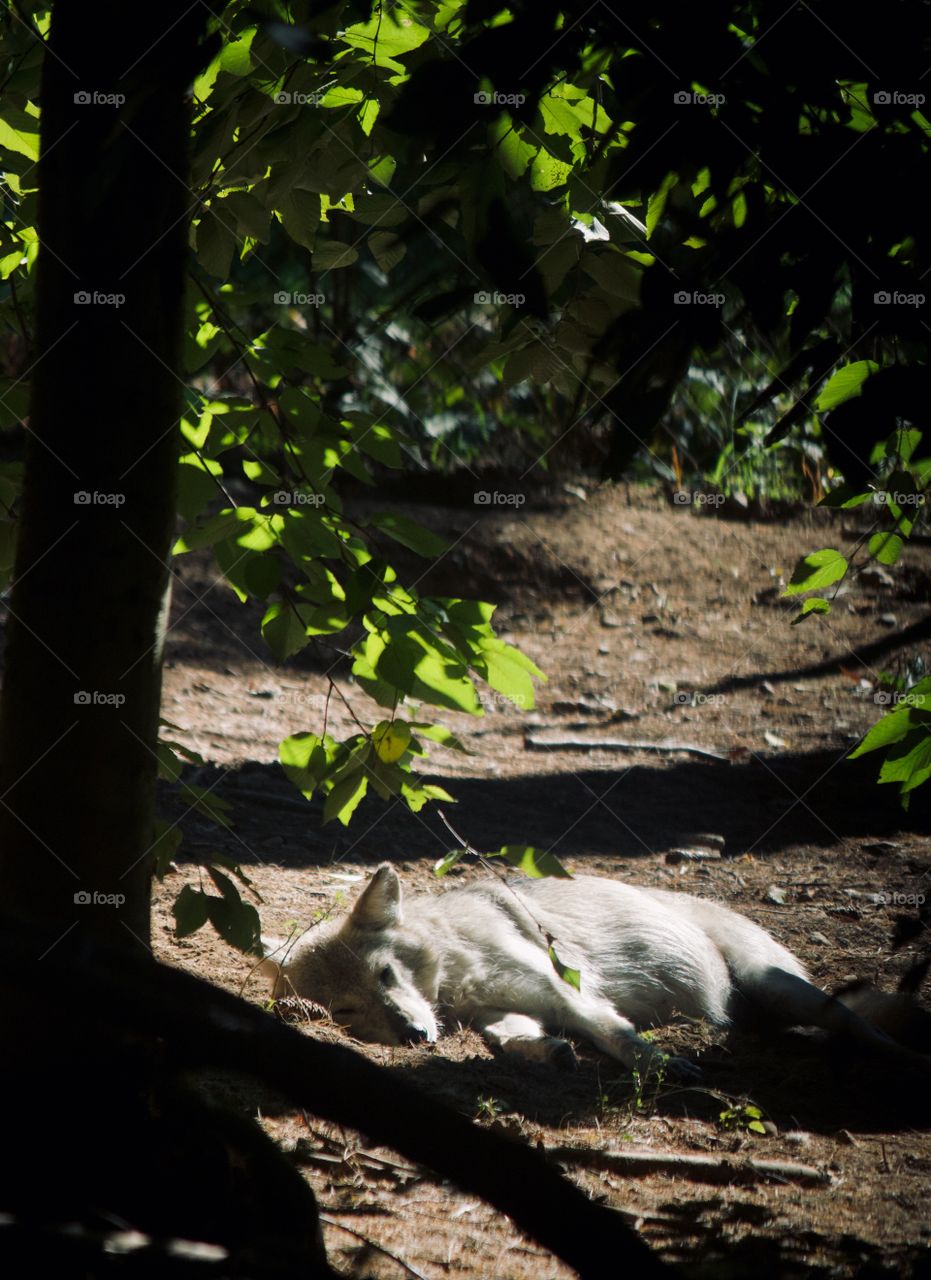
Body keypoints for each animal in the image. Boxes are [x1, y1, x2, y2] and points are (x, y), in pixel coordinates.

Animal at [258, 860, 927, 1080]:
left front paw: (662, 1068)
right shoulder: (501, 1010)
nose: (415, 1036)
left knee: (863, 1026)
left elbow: (615, 1035)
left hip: (784, 987)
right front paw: (549, 1054)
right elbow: (510, 1041)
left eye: (386, 977)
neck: (457, 966)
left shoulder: (570, 995)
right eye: (346, 1011)